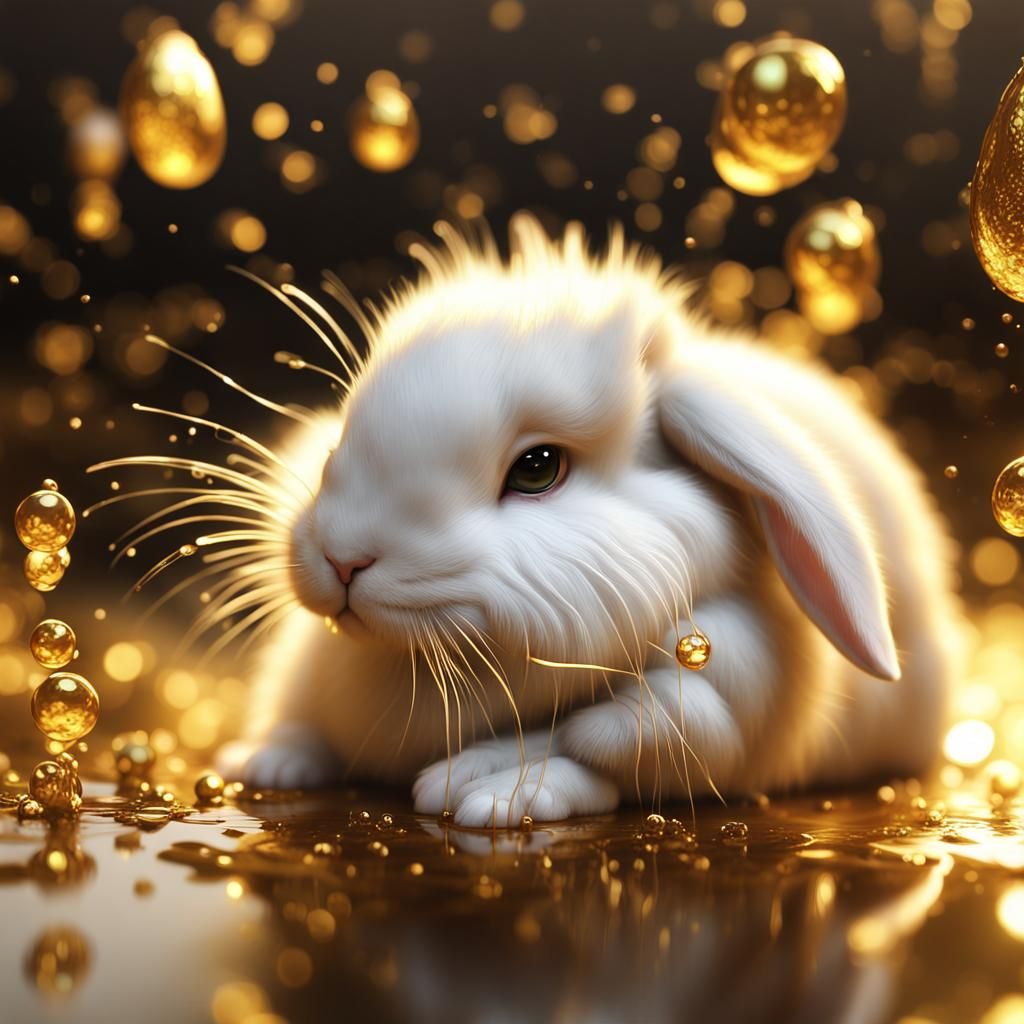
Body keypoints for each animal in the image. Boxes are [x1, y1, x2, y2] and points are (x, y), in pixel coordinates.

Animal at [217, 212, 960, 827]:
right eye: (339, 435)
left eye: (537, 468)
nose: (343, 559)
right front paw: (263, 760)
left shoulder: (722, 698)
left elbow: (609, 744)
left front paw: (496, 789)